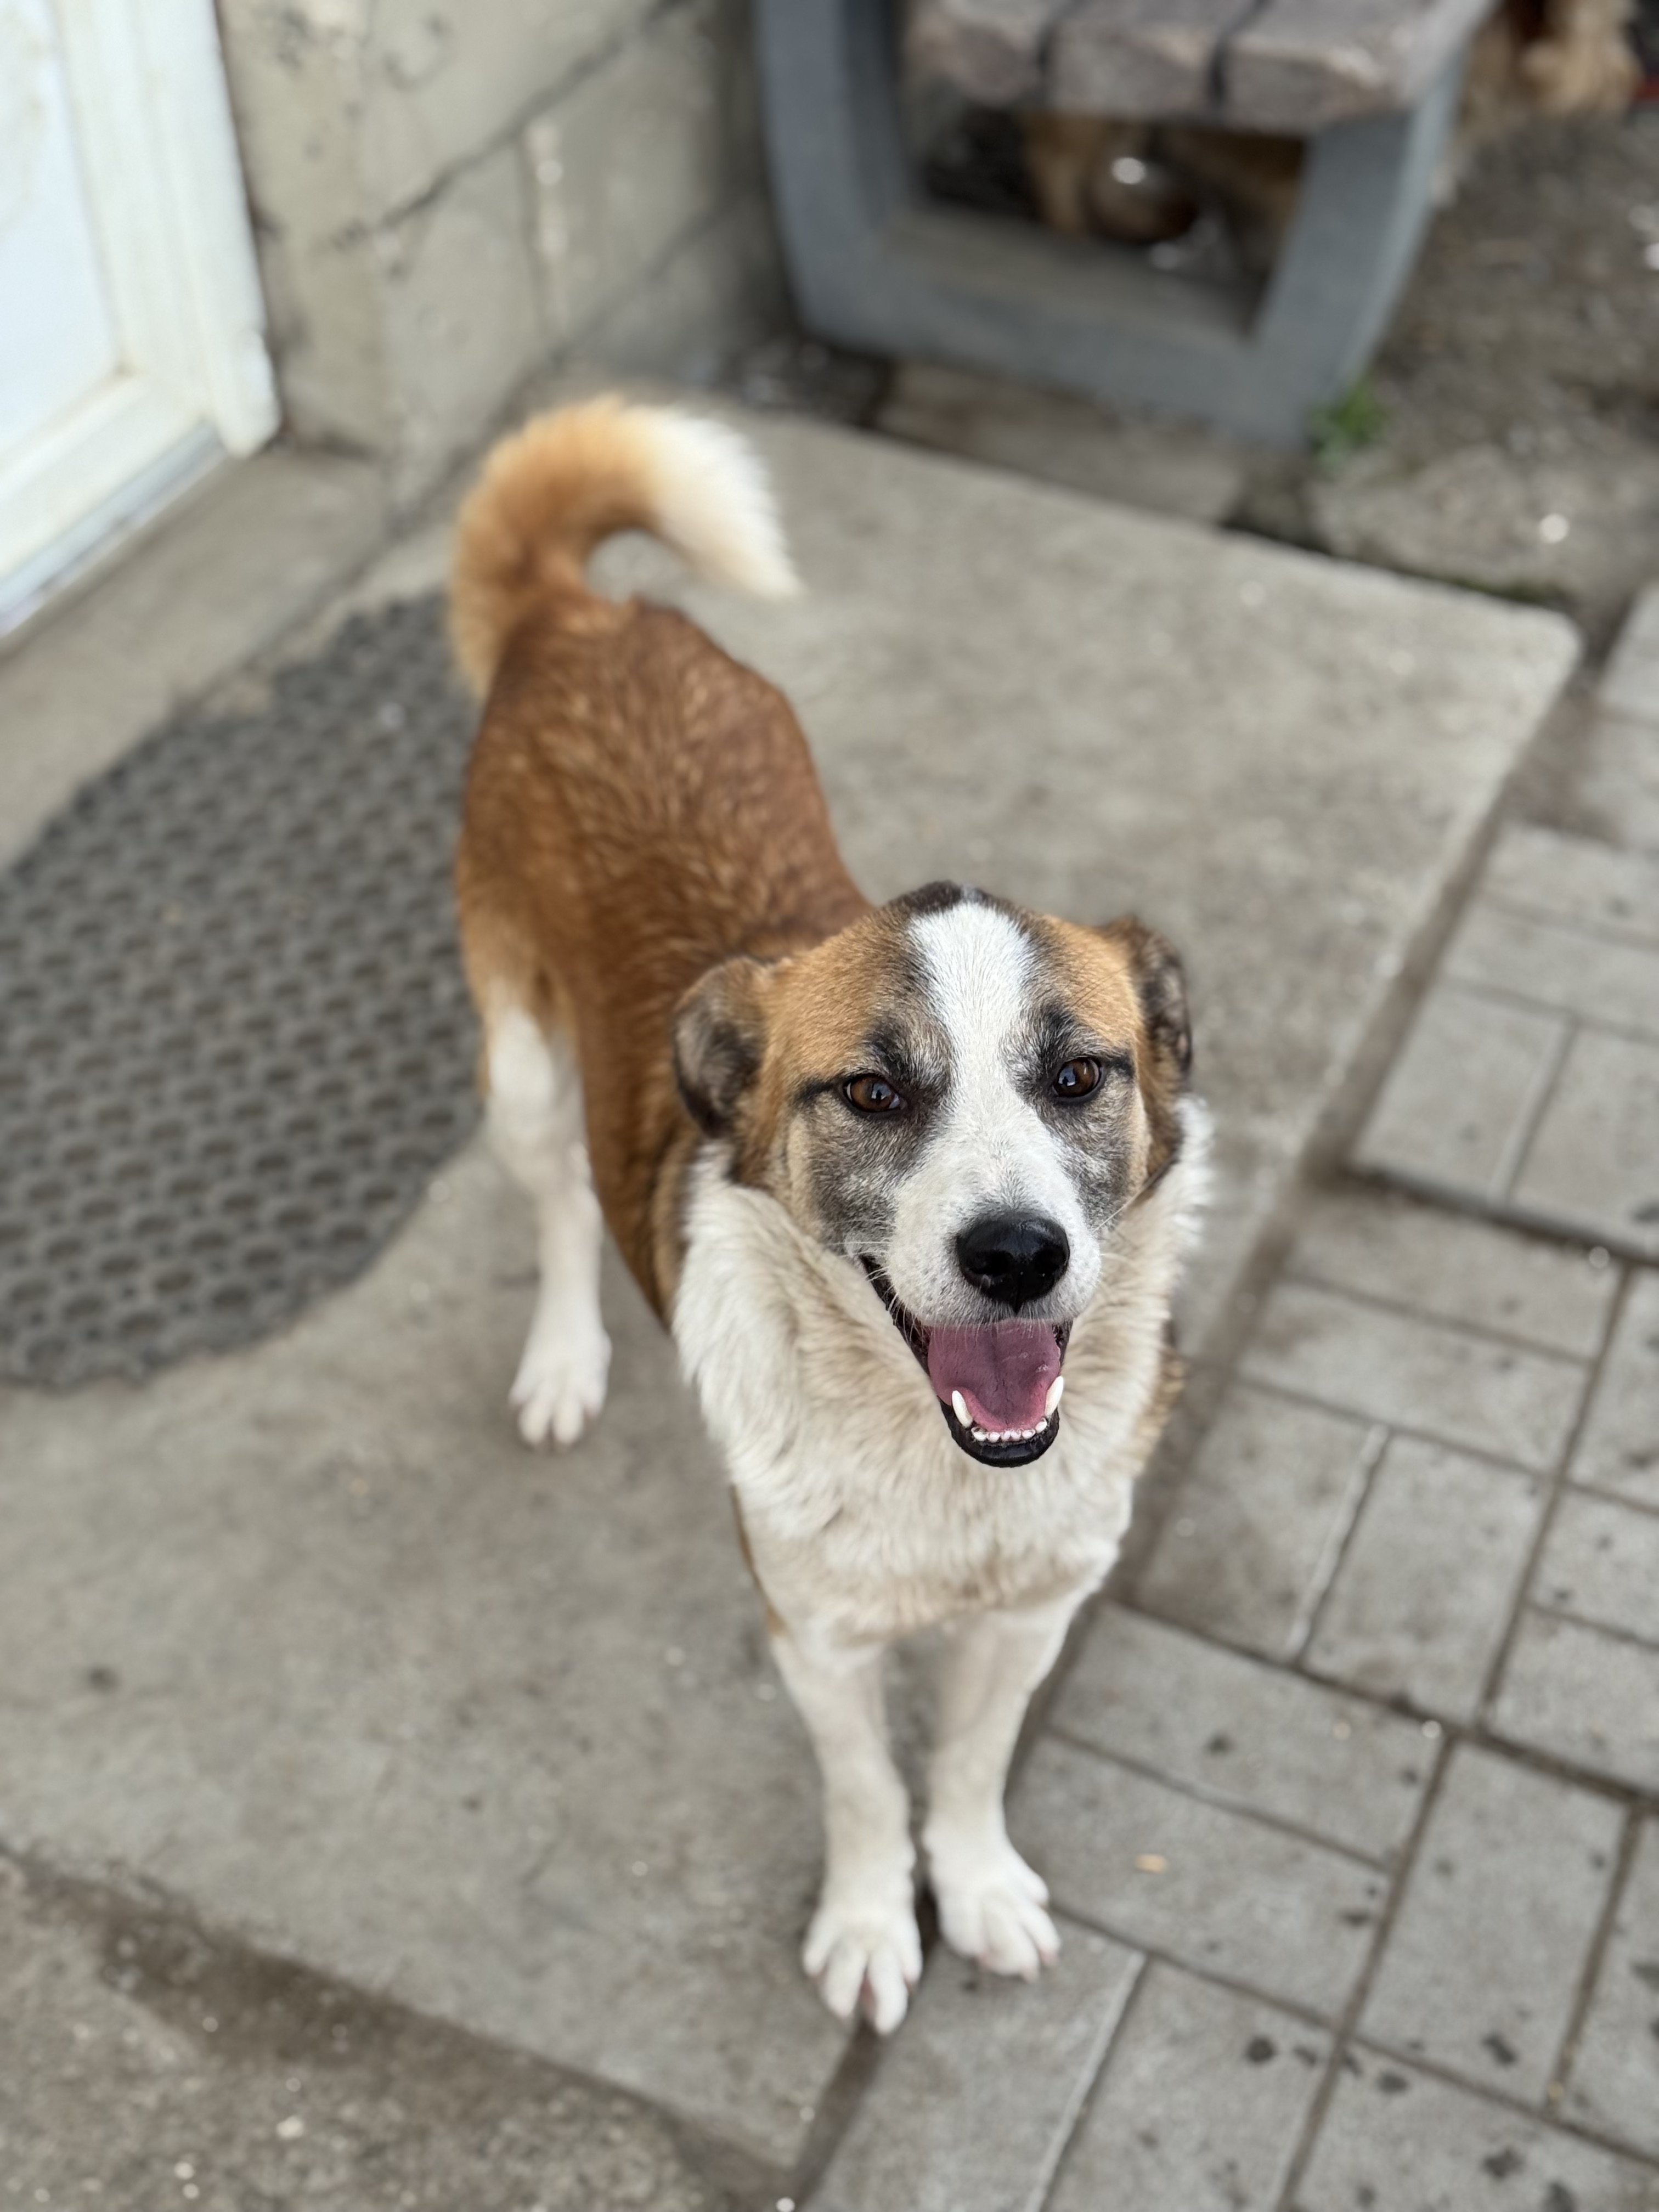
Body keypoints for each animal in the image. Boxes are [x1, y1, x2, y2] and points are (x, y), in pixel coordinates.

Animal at [450, 398, 1208, 2033]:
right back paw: (563, 1363)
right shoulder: (815, 1633)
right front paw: (870, 1924)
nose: (1016, 1257)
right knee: (559, 1211)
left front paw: (974, 1885)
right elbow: (867, 1789)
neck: (942, 1474)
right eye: (869, 1091)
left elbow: (970, 1768)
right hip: (520, 1067)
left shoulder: (1034, 1611)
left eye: (1077, 1075)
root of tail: (580, 615)